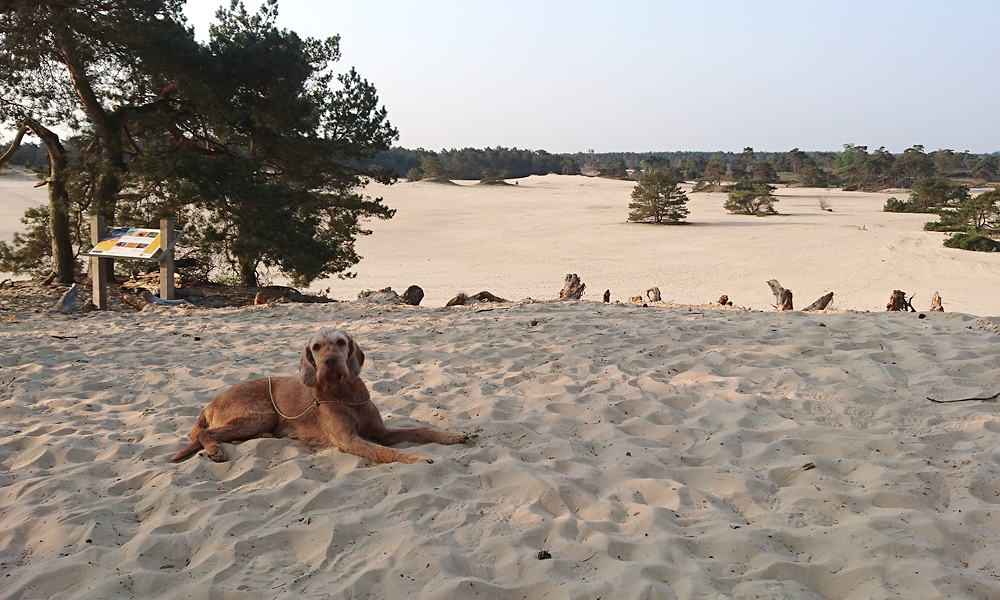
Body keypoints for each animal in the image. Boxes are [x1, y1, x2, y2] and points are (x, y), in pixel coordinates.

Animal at [170, 328, 468, 464]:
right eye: (316, 347)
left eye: (340, 342)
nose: (331, 361)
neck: (345, 394)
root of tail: (210, 404)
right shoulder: (349, 440)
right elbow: (386, 452)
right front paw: (417, 458)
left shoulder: (380, 431)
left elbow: (419, 430)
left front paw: (450, 436)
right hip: (261, 414)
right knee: (203, 433)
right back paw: (215, 449)